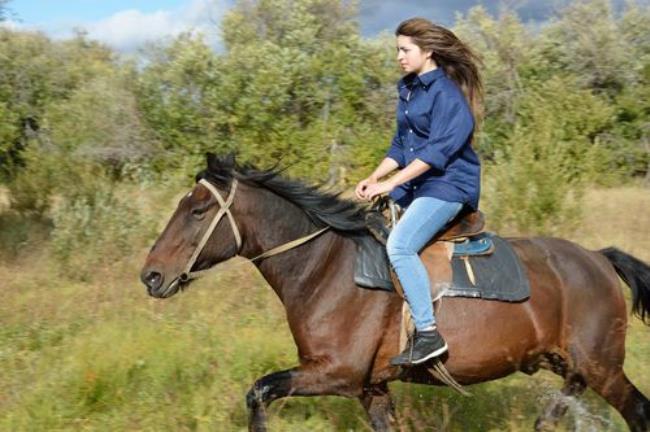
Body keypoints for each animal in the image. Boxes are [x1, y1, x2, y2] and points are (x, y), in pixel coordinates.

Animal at [139, 154, 644, 430]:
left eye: (198, 211)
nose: (151, 276)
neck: (327, 268)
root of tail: (598, 258)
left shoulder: (335, 374)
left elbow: (258, 391)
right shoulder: (372, 389)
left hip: (602, 366)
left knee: (638, 409)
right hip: (569, 363)